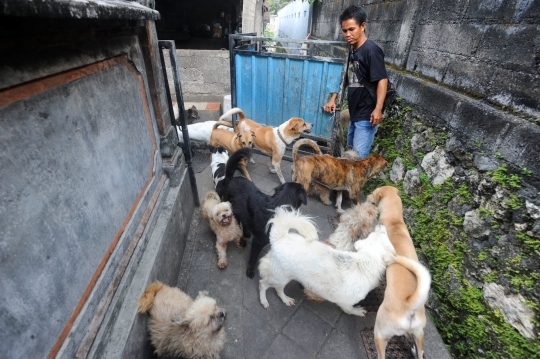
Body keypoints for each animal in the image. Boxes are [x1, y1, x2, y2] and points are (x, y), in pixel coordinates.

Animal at [217, 148, 306, 280]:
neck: (279, 205)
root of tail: (230, 178)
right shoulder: (257, 243)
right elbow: (253, 259)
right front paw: (249, 272)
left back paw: (247, 233)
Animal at [260, 207, 398, 316]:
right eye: (385, 234)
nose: (381, 223)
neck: (364, 262)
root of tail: (279, 237)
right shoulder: (346, 303)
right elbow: (350, 310)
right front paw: (358, 311)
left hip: (284, 277)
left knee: (278, 289)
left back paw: (286, 300)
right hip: (279, 277)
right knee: (263, 284)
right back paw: (264, 300)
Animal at [364, 187, 432, 359]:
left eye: (373, 193)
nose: (366, 196)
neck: (395, 220)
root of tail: (410, 305)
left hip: (380, 333)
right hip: (419, 333)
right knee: (419, 350)